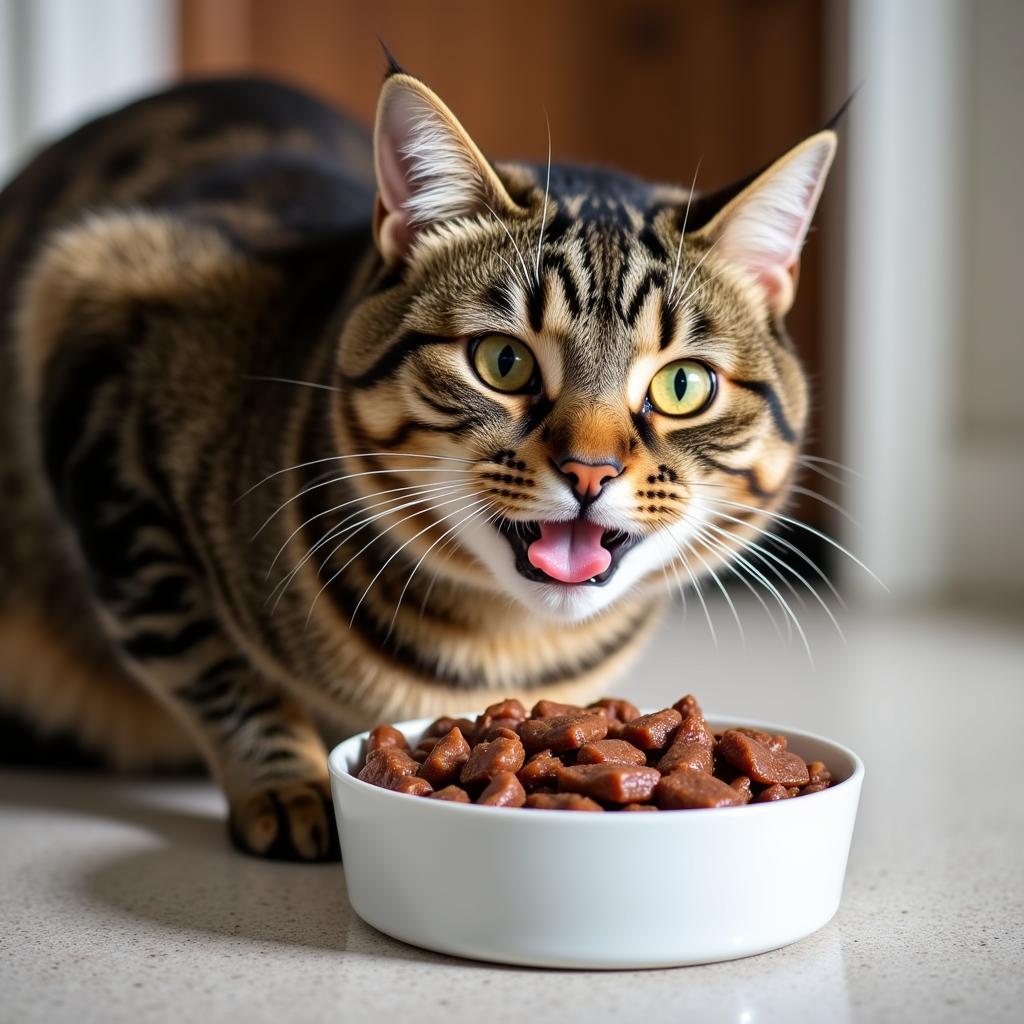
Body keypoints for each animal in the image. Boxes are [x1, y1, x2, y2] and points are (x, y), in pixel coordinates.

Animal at [0, 56, 835, 856]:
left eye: (683, 384)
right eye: (503, 362)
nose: (589, 471)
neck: (500, 642)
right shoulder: (91, 314)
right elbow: (206, 658)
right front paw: (288, 783)